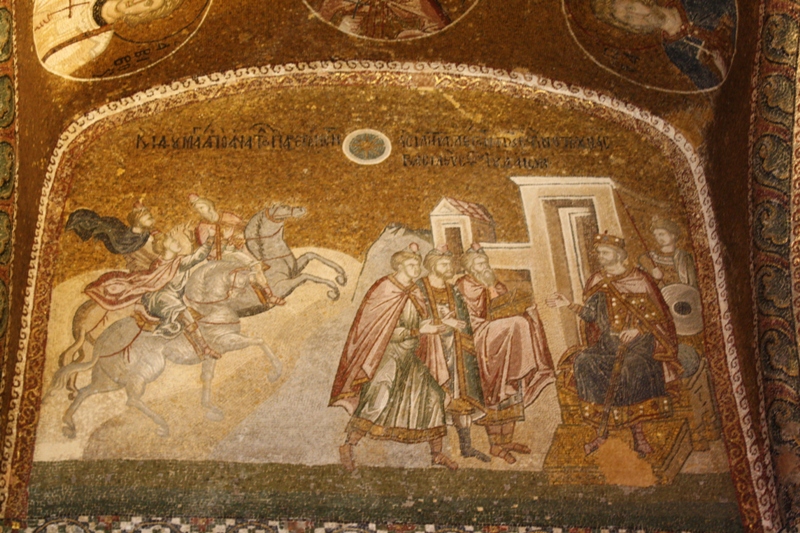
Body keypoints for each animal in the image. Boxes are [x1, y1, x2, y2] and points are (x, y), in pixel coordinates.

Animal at [48, 260, 282, 438]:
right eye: (253, 277)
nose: (272, 298)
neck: (209, 307)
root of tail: (102, 342)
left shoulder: (213, 352)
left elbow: (207, 378)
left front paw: (210, 409)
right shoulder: (226, 340)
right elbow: (259, 341)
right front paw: (275, 371)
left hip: (109, 379)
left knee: (86, 391)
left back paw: (68, 425)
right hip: (146, 369)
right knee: (132, 399)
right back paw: (163, 426)